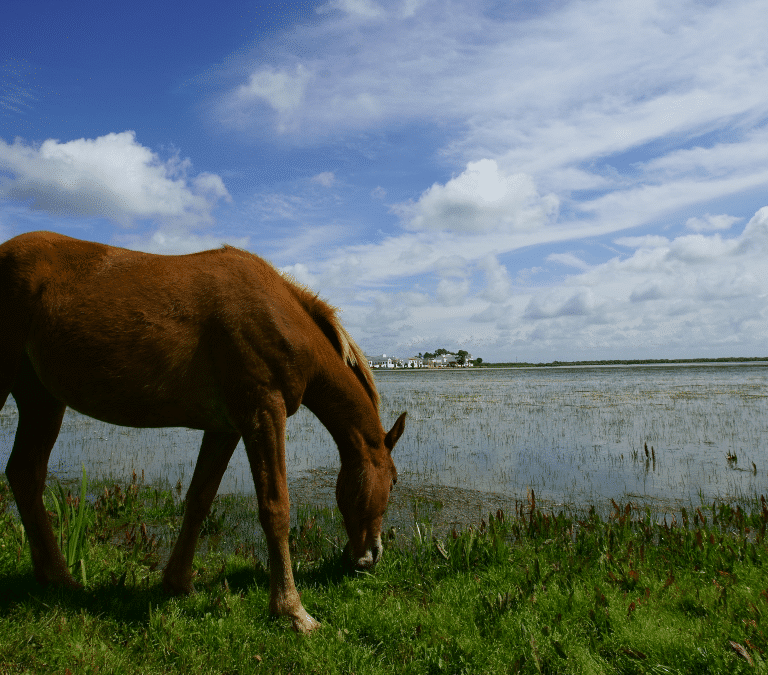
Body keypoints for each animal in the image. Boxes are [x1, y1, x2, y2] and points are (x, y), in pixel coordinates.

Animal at [0, 230, 406, 633]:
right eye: (394, 480)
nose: (371, 555)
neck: (280, 315)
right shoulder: (263, 413)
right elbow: (275, 508)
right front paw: (292, 610)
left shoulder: (224, 428)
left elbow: (199, 500)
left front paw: (178, 583)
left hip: (42, 398)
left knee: (24, 474)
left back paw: (58, 577)